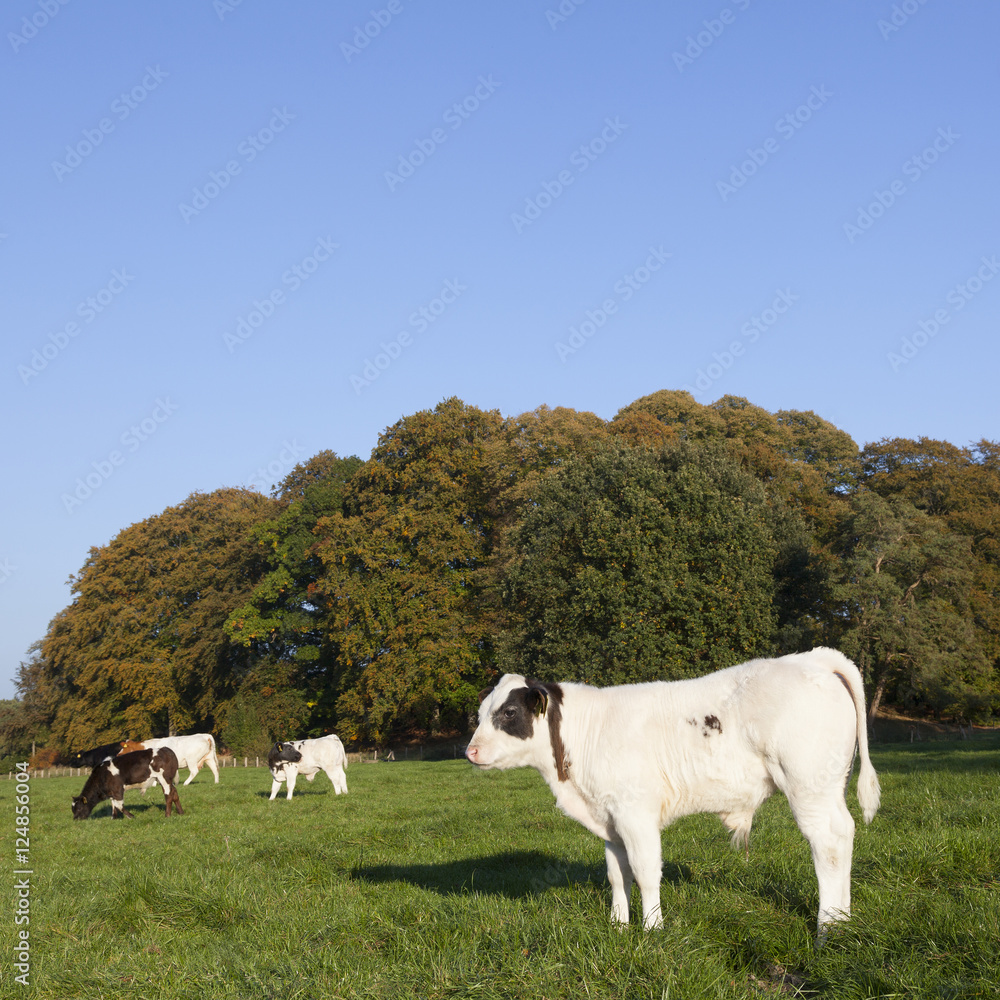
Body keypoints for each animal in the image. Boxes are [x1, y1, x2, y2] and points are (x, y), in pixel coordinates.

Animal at [466, 647, 881, 938]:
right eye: (480, 713)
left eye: (509, 713)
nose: (469, 752)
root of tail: (812, 659)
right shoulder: (610, 819)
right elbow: (618, 874)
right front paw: (618, 926)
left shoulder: (636, 813)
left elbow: (647, 872)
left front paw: (652, 929)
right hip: (827, 787)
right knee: (845, 835)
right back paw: (843, 920)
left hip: (809, 785)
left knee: (828, 845)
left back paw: (827, 928)